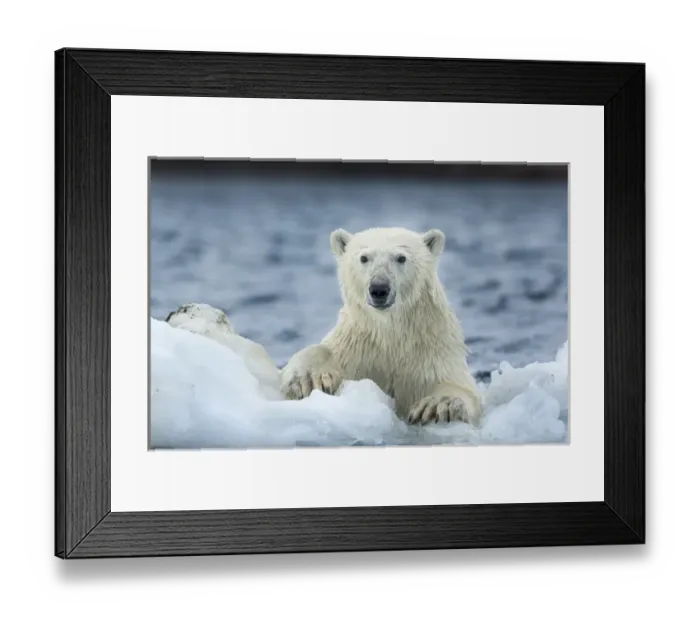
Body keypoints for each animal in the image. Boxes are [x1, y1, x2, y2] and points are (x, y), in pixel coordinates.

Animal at [280, 227, 483, 425]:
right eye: (364, 258)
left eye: (401, 257)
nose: (379, 289)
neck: (389, 334)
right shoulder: (357, 348)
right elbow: (324, 351)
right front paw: (308, 379)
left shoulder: (432, 354)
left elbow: (458, 385)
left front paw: (436, 404)